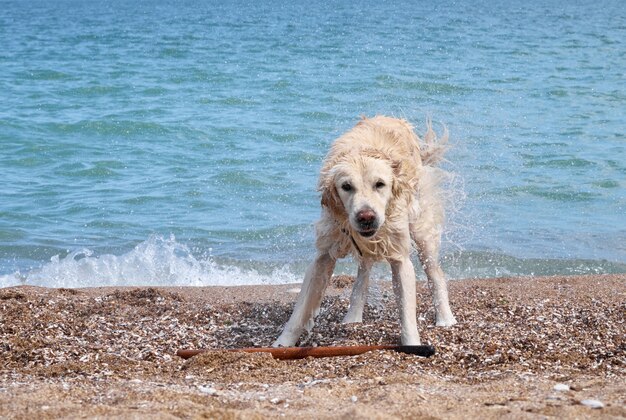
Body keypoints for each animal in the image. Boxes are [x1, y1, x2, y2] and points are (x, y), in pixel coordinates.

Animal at [272, 115, 454, 348]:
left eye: (380, 184)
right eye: (346, 186)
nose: (366, 217)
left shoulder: (399, 255)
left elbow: (406, 311)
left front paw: (412, 344)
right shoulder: (324, 252)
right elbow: (300, 309)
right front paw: (282, 343)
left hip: (421, 228)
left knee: (434, 273)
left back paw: (445, 318)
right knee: (364, 272)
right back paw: (353, 316)